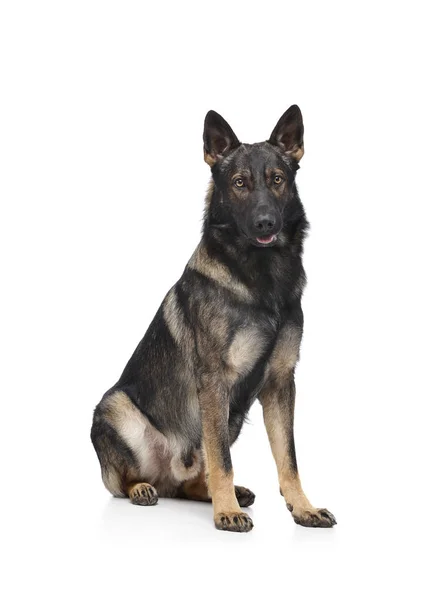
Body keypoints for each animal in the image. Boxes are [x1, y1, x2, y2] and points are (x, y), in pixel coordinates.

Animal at [90, 105, 336, 532]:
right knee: (123, 482)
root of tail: (167, 475)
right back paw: (145, 488)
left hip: (231, 415)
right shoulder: (215, 382)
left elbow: (288, 459)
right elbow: (223, 459)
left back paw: (221, 493)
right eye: (239, 183)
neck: (261, 278)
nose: (265, 223)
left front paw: (302, 507)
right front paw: (226, 513)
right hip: (114, 406)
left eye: (277, 180)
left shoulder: (279, 383)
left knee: (193, 479)